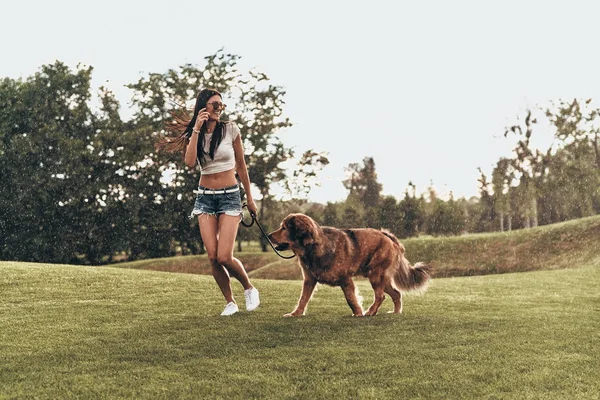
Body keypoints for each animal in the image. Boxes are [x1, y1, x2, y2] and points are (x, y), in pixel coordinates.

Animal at [268, 214, 432, 318]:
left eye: (284, 228)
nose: (268, 235)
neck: (313, 247)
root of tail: (388, 236)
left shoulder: (345, 279)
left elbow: (350, 298)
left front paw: (358, 313)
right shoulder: (309, 280)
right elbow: (303, 299)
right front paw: (296, 314)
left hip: (375, 274)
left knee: (380, 296)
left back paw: (371, 311)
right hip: (381, 278)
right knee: (396, 294)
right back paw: (396, 312)